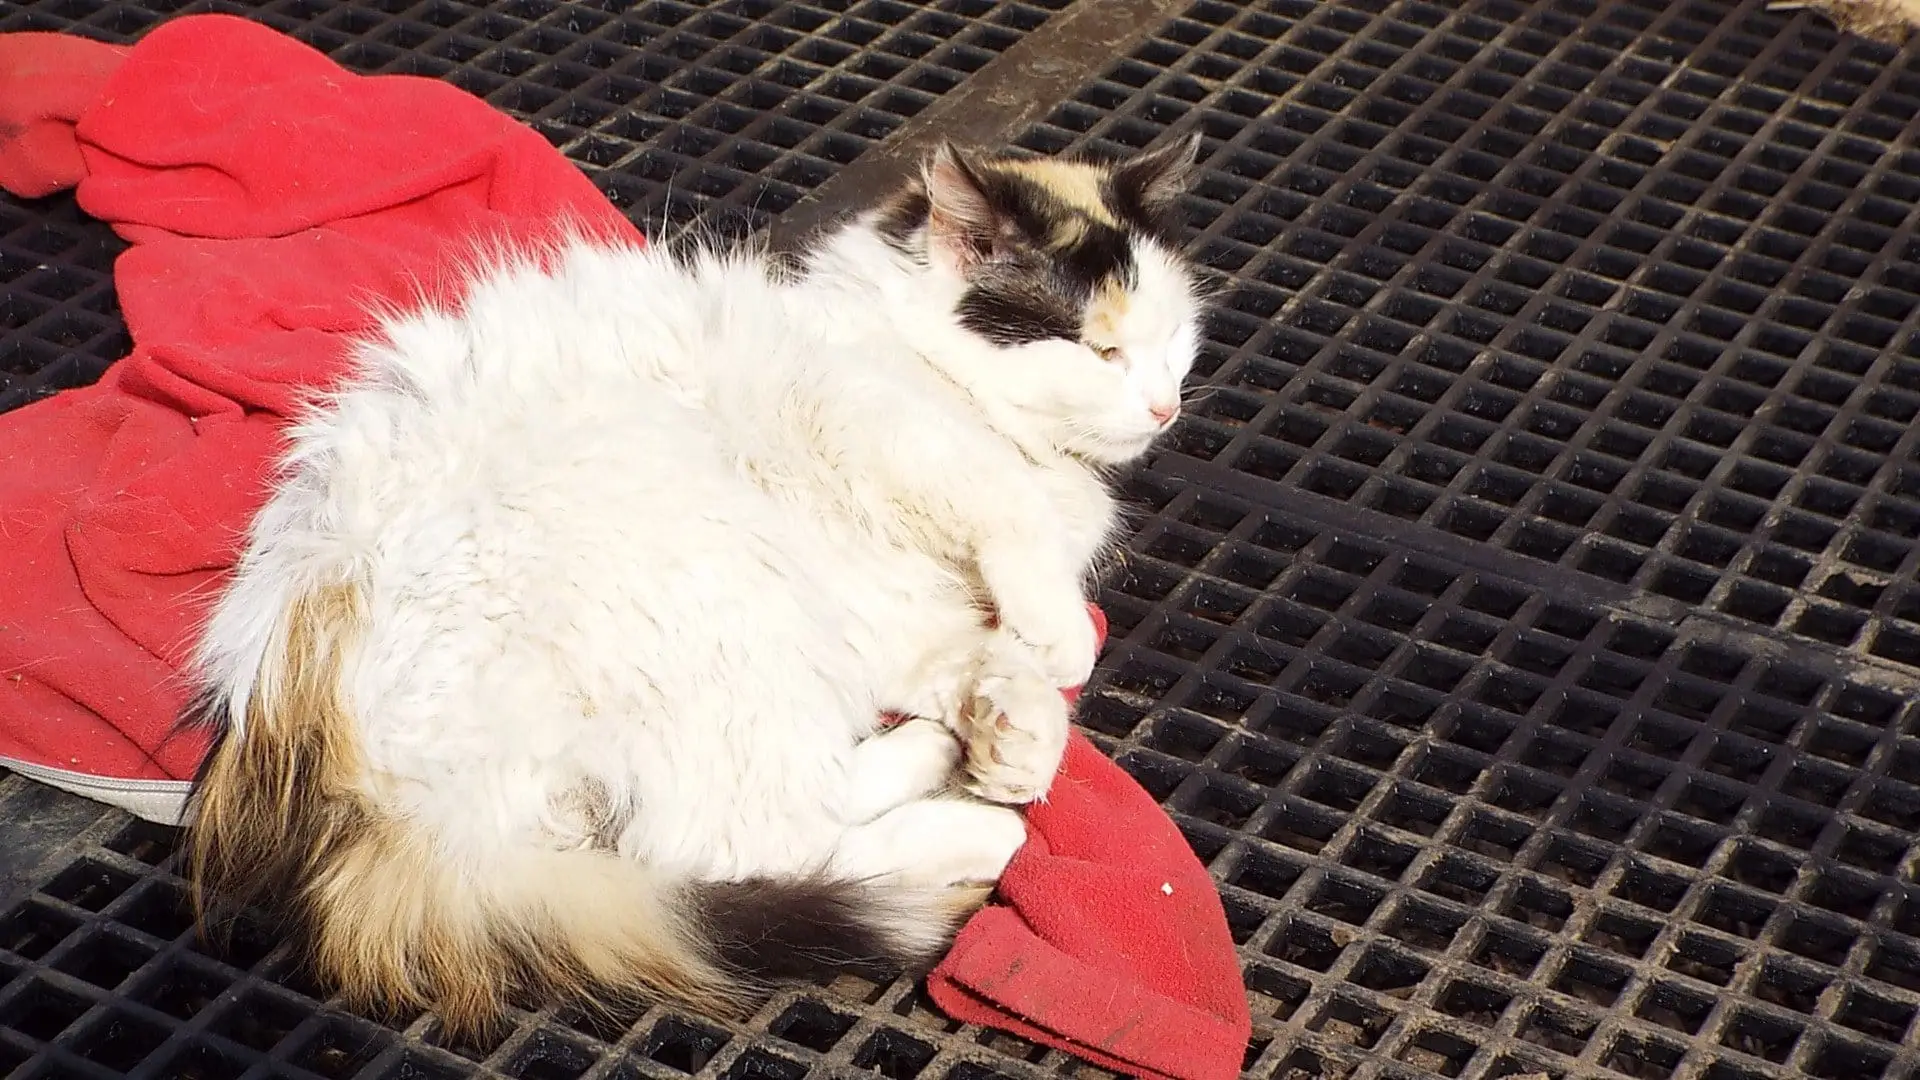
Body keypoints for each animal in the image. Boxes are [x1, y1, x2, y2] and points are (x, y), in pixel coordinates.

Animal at [187, 134, 1221, 1022]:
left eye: (1178, 340)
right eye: (1101, 349)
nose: (1166, 407)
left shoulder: (888, 613)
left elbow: (979, 662)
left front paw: (1016, 738)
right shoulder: (859, 415)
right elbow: (998, 504)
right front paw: (1054, 639)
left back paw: (940, 759)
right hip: (715, 581)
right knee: (743, 844)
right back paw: (972, 835)